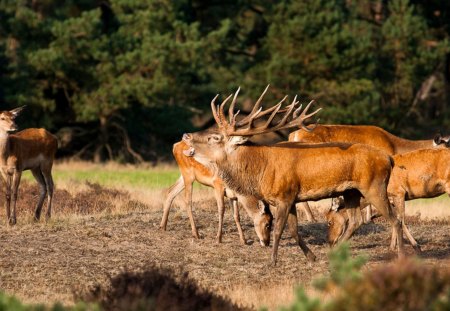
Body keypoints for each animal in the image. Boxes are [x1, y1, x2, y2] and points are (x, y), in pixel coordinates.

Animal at [182, 88, 404, 266]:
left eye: (214, 137)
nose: (186, 135)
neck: (260, 170)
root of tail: (389, 159)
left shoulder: (284, 195)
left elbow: (279, 230)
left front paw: (272, 261)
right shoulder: (291, 198)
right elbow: (294, 230)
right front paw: (311, 257)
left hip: (374, 186)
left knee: (395, 219)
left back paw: (401, 255)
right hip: (351, 191)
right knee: (356, 220)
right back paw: (334, 253)